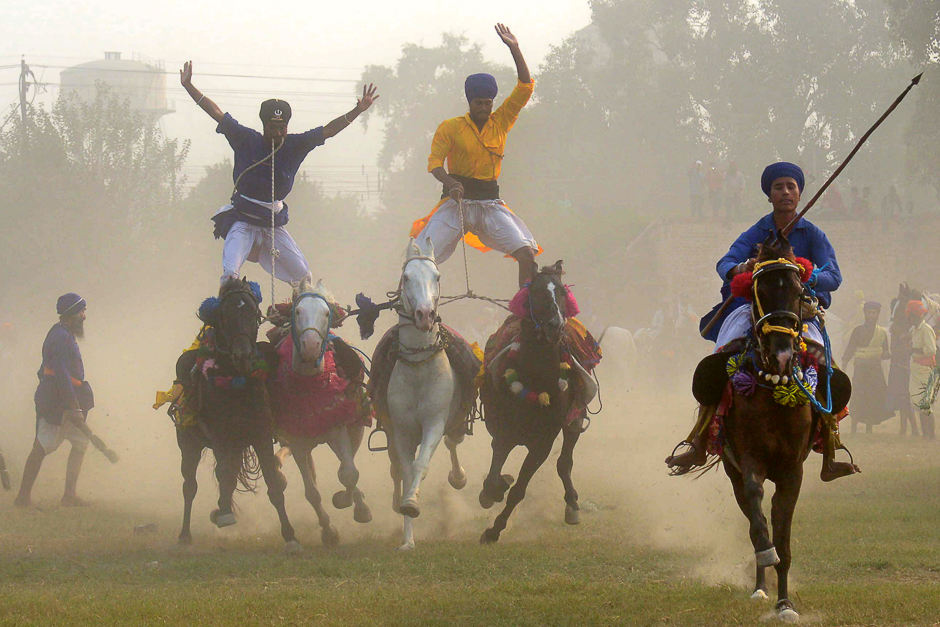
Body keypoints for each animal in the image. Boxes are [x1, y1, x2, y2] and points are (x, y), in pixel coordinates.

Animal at [173, 280, 298, 556]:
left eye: (253, 313)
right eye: (224, 315)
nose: (242, 355)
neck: (236, 383)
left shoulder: (261, 435)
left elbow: (272, 481)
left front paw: (290, 536)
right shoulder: (220, 437)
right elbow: (223, 474)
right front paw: (221, 513)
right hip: (189, 443)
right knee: (189, 485)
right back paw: (185, 535)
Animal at [272, 278, 370, 548]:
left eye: (327, 313)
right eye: (297, 311)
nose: (311, 346)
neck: (309, 384)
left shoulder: (337, 427)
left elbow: (349, 473)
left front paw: (351, 504)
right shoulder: (297, 441)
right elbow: (312, 493)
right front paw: (329, 531)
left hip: (354, 426)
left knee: (349, 463)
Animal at [386, 238, 466, 552]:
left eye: (437, 277)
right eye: (407, 277)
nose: (424, 315)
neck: (419, 370)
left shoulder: (434, 421)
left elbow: (421, 464)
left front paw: (411, 502)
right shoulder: (401, 430)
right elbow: (408, 471)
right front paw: (407, 537)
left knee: (452, 443)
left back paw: (458, 477)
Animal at [478, 262, 596, 544]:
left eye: (563, 291)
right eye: (537, 292)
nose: (555, 325)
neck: (537, 376)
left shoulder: (543, 442)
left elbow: (519, 489)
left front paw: (494, 529)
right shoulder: (504, 432)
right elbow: (494, 475)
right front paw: (494, 490)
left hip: (573, 421)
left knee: (565, 462)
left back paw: (572, 505)